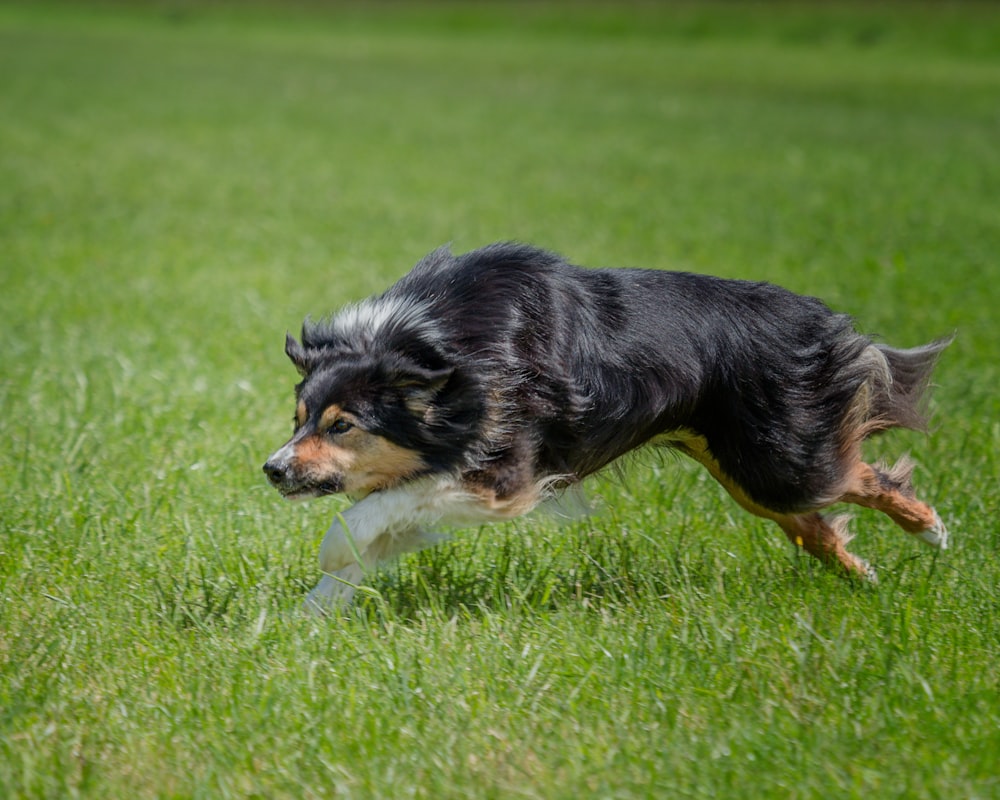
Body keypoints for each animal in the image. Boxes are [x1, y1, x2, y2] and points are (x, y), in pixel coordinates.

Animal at [262, 244, 948, 612]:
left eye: (343, 425)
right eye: (298, 421)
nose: (272, 469)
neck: (439, 350)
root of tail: (819, 320)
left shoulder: (506, 471)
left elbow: (360, 520)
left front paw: (324, 576)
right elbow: (373, 530)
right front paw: (308, 618)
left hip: (775, 457)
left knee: (860, 474)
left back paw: (931, 528)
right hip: (740, 466)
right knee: (812, 525)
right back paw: (864, 575)